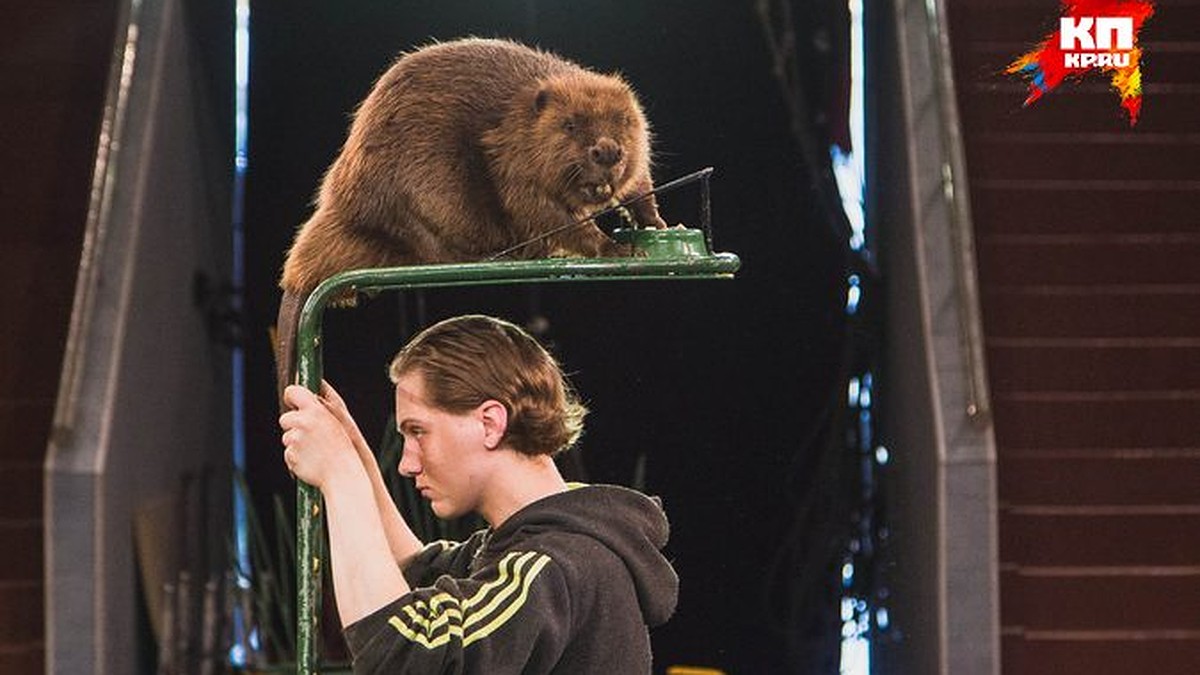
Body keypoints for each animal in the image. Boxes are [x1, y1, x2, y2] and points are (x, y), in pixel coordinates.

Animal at [276, 38, 672, 393]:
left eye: (623, 119)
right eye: (570, 124)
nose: (607, 151)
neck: (518, 116)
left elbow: (638, 182)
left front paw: (656, 222)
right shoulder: (511, 160)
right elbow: (548, 213)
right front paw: (617, 248)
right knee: (437, 248)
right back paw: (505, 253)